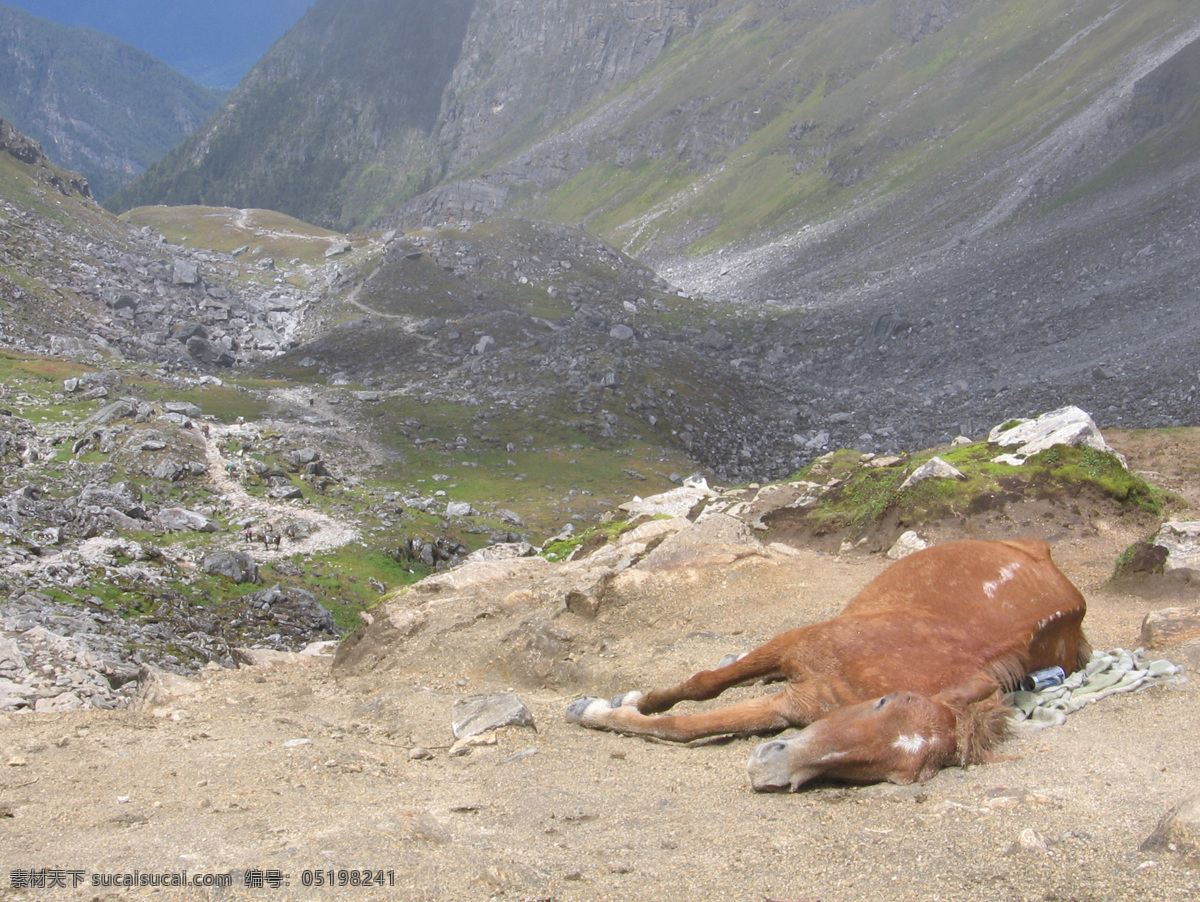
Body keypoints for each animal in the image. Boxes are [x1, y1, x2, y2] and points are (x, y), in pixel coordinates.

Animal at [566, 539, 1094, 791]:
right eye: (884, 703)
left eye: (894, 774)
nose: (771, 768)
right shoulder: (793, 643)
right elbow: (702, 685)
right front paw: (614, 703)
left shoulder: (798, 703)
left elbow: (687, 726)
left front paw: (603, 711)